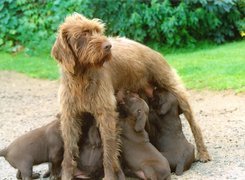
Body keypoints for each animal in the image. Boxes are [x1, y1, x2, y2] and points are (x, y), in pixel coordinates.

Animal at [51, 13, 211, 180]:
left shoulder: (106, 114)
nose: (108, 46)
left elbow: (108, 152)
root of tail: (150, 49)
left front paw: (109, 175)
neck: (81, 78)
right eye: (83, 33)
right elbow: (69, 152)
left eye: (98, 31)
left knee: (194, 124)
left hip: (174, 88)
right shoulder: (70, 116)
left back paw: (203, 153)